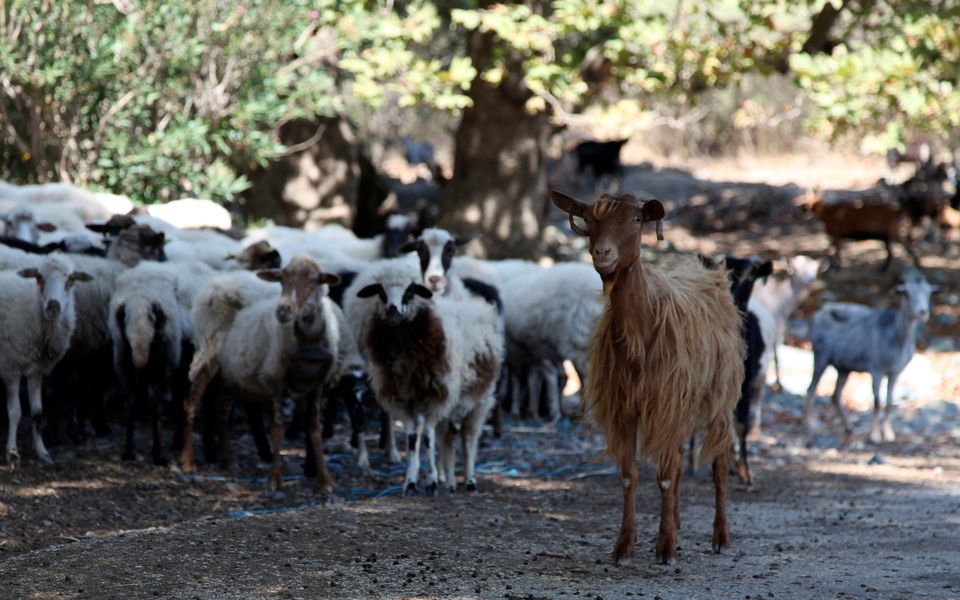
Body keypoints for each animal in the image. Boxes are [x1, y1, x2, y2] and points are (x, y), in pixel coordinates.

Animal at [0, 256, 93, 468]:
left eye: (71, 279)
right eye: (39, 277)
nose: (53, 306)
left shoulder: (37, 371)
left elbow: (37, 412)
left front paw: (42, 452)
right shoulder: (11, 368)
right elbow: (15, 412)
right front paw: (12, 453)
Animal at [346, 259, 503, 494]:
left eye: (410, 291)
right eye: (381, 292)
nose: (393, 311)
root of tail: (479, 306)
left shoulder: (434, 396)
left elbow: (428, 437)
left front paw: (432, 481)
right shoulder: (405, 398)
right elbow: (413, 439)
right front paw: (411, 481)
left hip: (479, 400)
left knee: (468, 439)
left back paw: (469, 480)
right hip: (452, 407)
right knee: (448, 438)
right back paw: (449, 481)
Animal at [551, 190, 744, 565]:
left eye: (636, 220)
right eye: (589, 220)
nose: (603, 254)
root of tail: (710, 275)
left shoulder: (666, 402)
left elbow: (665, 477)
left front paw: (665, 547)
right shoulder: (626, 407)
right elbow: (630, 476)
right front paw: (625, 545)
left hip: (720, 397)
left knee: (718, 462)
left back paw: (721, 536)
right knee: (681, 462)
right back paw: (680, 525)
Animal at [804, 277, 935, 444]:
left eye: (929, 293)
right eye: (906, 293)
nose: (922, 312)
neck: (896, 338)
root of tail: (816, 315)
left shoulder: (895, 373)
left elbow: (890, 403)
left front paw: (889, 434)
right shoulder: (876, 369)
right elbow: (877, 402)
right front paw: (874, 436)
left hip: (844, 368)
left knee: (835, 396)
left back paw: (849, 427)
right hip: (821, 356)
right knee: (811, 389)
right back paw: (810, 424)